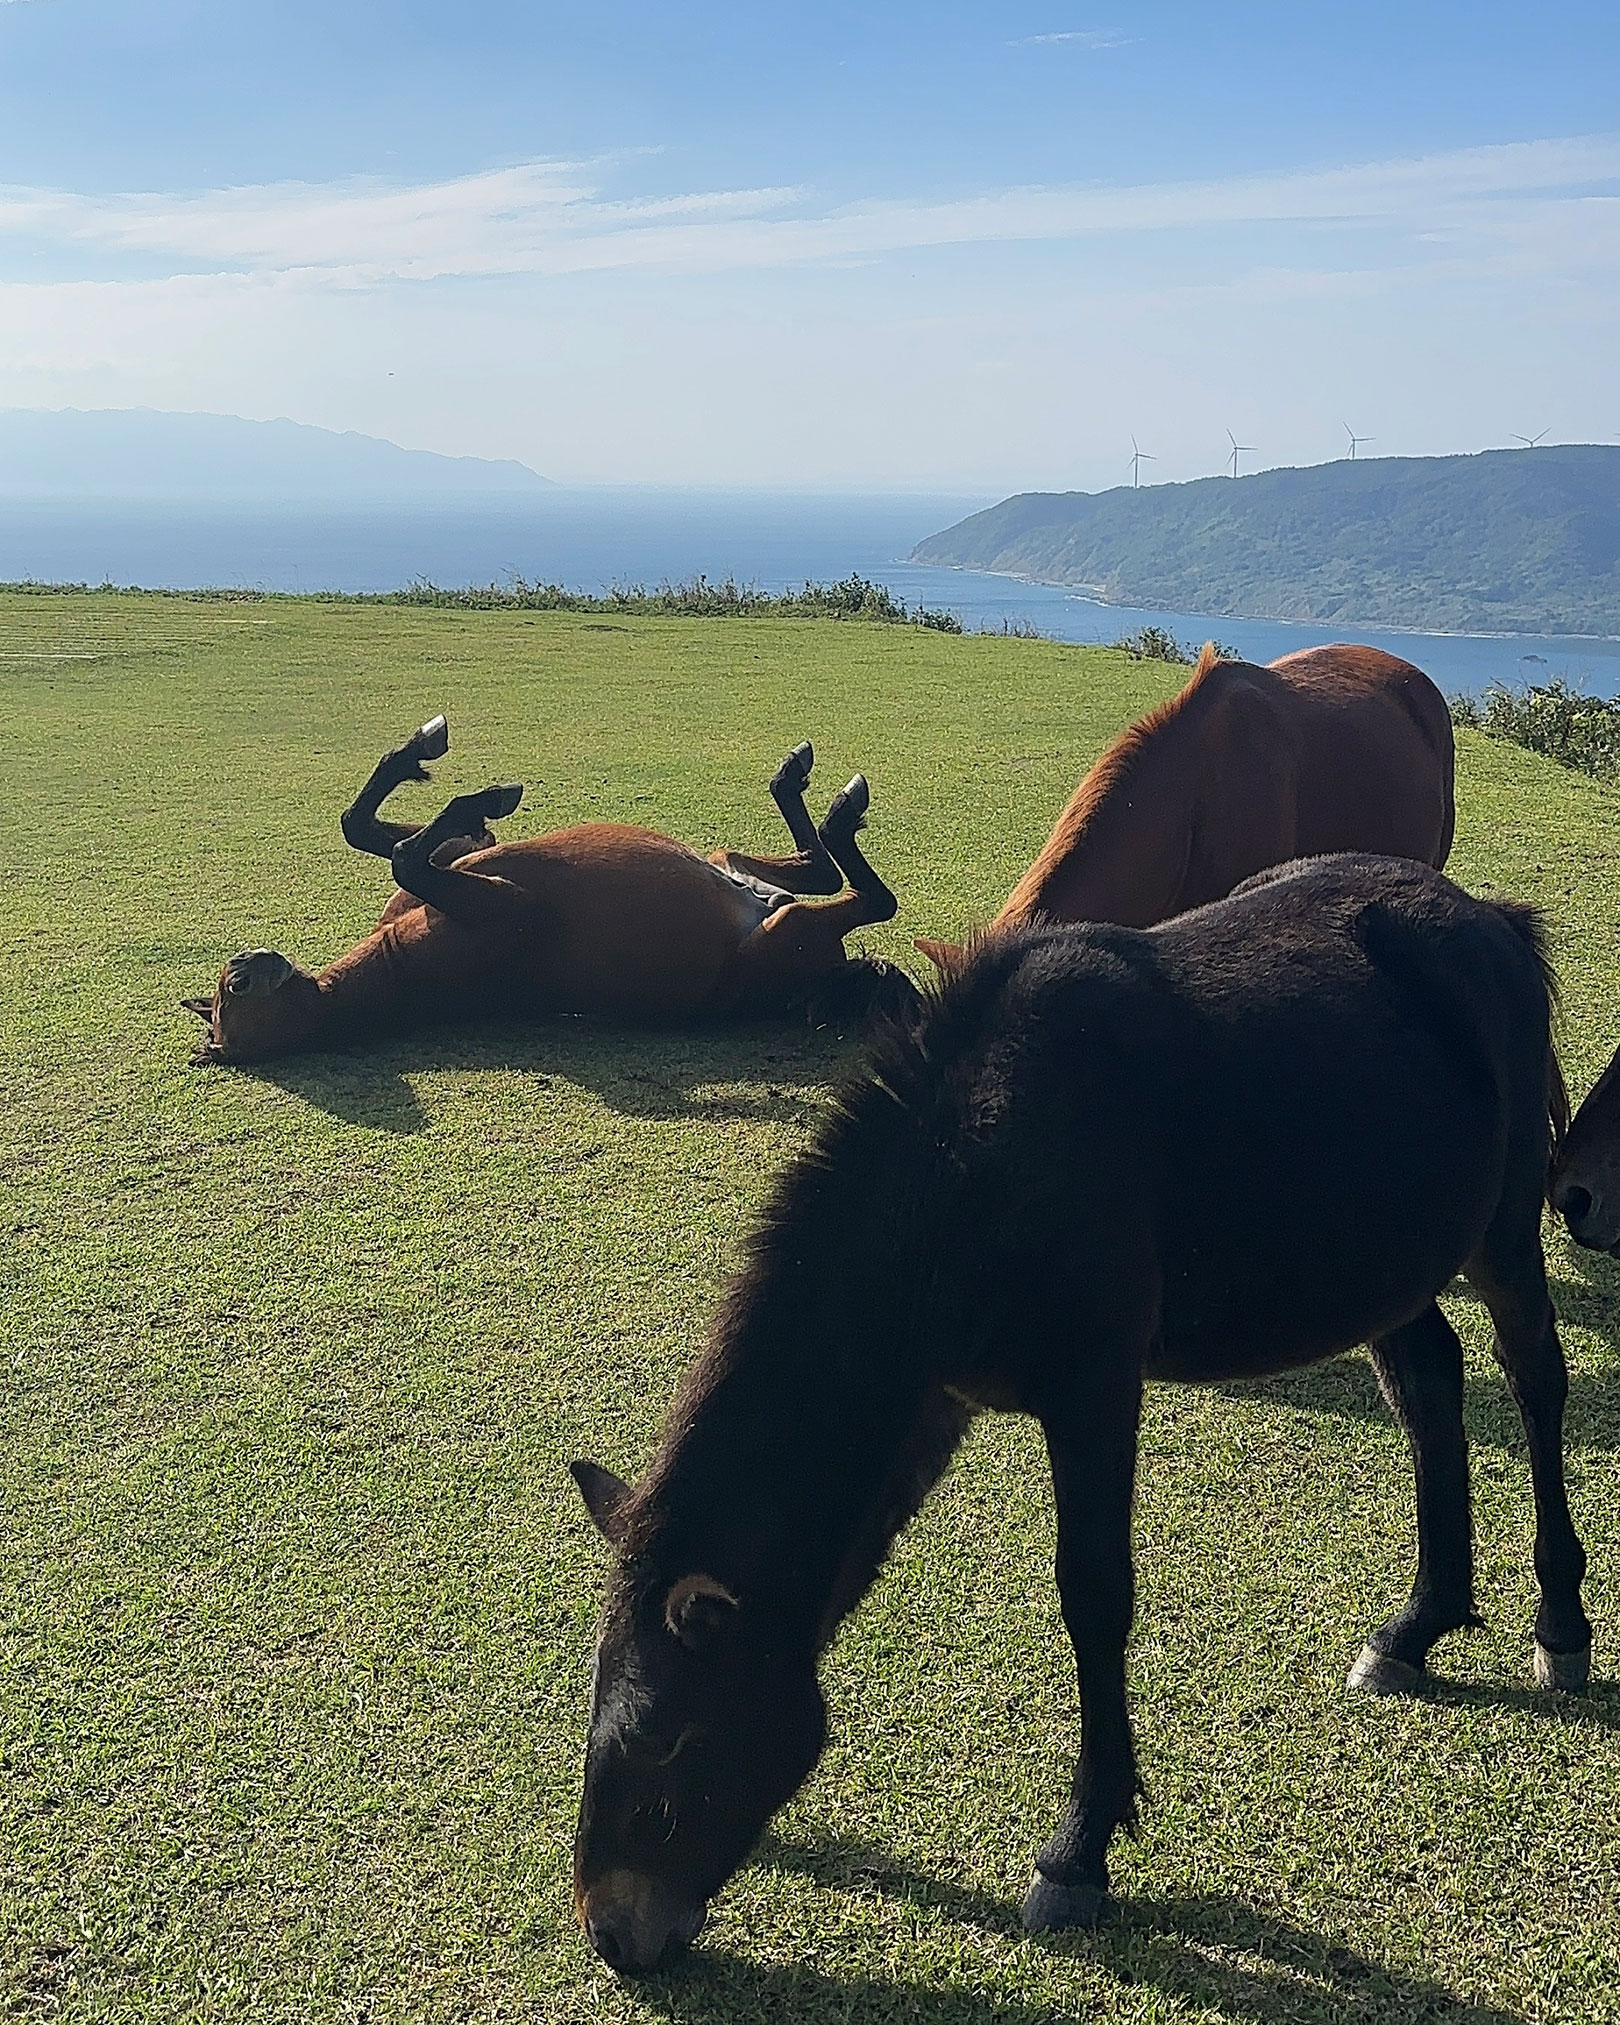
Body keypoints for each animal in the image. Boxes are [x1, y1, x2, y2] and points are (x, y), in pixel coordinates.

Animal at [185, 716, 919, 1061]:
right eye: (233, 990)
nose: (246, 960)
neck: (400, 965)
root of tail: (821, 979)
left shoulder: (455, 868)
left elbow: (367, 830)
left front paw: (428, 762)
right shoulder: (494, 900)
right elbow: (402, 855)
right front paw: (478, 793)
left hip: (729, 863)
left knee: (817, 867)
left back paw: (794, 780)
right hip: (789, 927)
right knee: (863, 895)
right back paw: (837, 807)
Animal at [562, 854, 1587, 1976]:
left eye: (662, 1736)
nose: (611, 1930)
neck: (977, 1162)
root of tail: (1490, 919)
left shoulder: (1093, 1385)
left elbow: (1093, 1593)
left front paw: (1080, 1848)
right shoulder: (935, 1403)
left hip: (1502, 1233)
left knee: (1536, 1378)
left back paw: (1561, 1620)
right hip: (1386, 1267)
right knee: (1431, 1387)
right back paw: (1418, 1623)